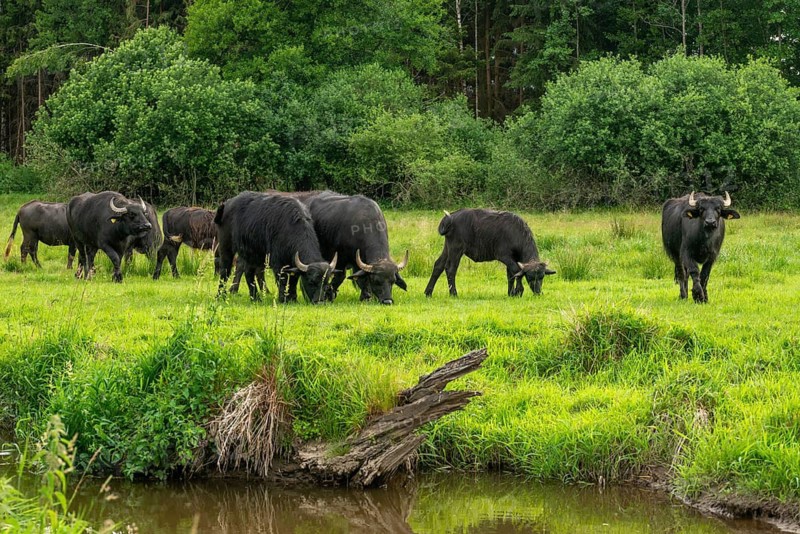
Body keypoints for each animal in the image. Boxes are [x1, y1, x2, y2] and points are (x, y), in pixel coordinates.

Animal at [425, 208, 555, 297]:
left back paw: (428, 292)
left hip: (448, 247)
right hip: (456, 248)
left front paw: (511, 293)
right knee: (450, 269)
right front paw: (518, 291)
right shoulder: (504, 256)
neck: (516, 233)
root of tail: (451, 217)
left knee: (438, 265)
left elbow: (510, 275)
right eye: (530, 277)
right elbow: (516, 271)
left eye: (542, 277)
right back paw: (454, 293)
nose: (538, 292)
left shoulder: (512, 259)